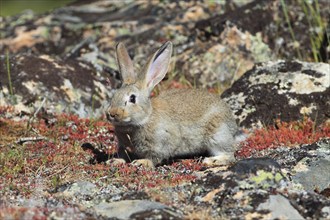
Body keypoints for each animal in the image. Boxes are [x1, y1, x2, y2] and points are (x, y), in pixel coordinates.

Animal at [106, 41, 245, 168]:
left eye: (132, 98)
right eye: (114, 95)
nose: (111, 114)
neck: (146, 118)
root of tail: (233, 127)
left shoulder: (162, 142)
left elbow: (155, 157)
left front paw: (142, 162)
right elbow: (124, 154)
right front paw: (114, 161)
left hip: (218, 134)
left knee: (229, 154)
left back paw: (212, 160)